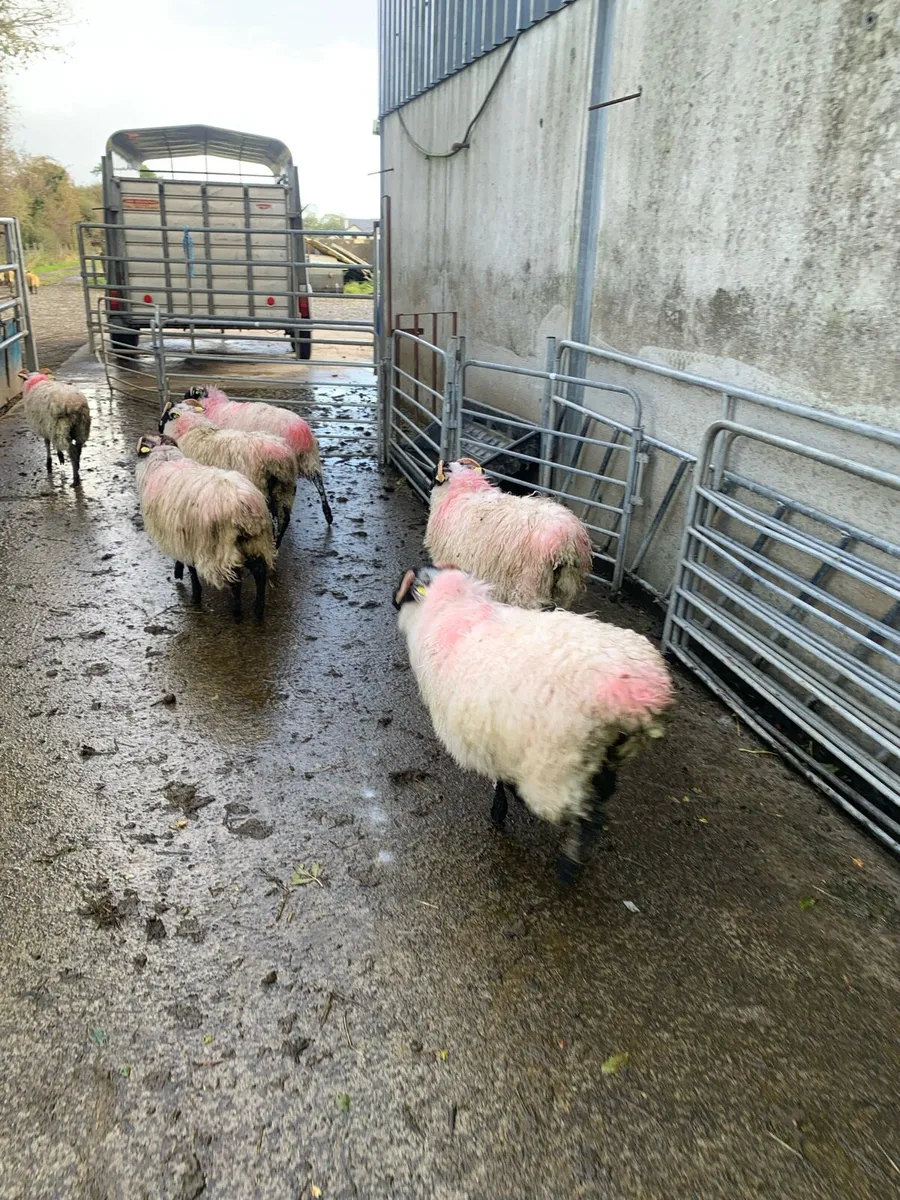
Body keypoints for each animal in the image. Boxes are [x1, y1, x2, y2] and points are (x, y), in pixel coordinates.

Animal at [135, 434, 275, 621]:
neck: (165, 457)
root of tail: (244, 505)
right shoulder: (182, 536)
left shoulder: (185, 539)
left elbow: (191, 568)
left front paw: (193, 592)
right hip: (255, 541)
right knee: (260, 571)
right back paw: (258, 611)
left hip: (220, 547)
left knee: (235, 579)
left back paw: (237, 613)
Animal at [159, 402, 298, 547]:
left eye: (166, 416)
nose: (159, 429)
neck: (193, 429)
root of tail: (280, 458)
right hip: (285, 489)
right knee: (285, 518)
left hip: (262, 489)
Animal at [183, 385, 333, 525]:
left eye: (190, 395)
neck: (214, 407)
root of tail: (301, 433)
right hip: (310, 459)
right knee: (319, 483)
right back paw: (328, 515)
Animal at [393, 565, 673, 882]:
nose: (394, 601)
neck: (454, 609)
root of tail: (639, 693)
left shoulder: (489, 736)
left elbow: (500, 780)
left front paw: (500, 810)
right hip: (608, 756)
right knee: (601, 796)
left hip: (556, 764)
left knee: (584, 815)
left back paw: (568, 865)